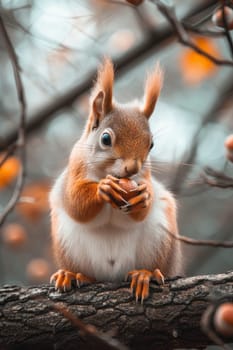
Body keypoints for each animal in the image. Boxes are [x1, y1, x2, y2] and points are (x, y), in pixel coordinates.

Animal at [49, 58, 182, 302]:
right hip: (67, 242)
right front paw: (103, 189)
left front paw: (144, 197)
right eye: (105, 138)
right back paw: (72, 275)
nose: (132, 168)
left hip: (160, 238)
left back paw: (144, 274)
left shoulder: (145, 176)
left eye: (151, 144)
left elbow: (141, 211)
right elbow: (75, 202)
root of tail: (112, 275)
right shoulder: (75, 168)